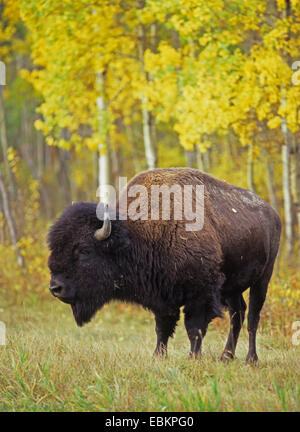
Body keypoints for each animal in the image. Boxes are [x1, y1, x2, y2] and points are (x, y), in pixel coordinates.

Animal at [47, 167, 282, 362]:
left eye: (83, 251)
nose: (55, 288)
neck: (136, 234)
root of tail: (273, 213)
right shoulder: (162, 297)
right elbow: (163, 328)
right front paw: (158, 356)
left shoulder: (200, 293)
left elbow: (194, 328)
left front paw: (193, 357)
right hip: (232, 287)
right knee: (237, 314)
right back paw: (226, 356)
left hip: (263, 279)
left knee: (252, 317)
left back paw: (251, 359)